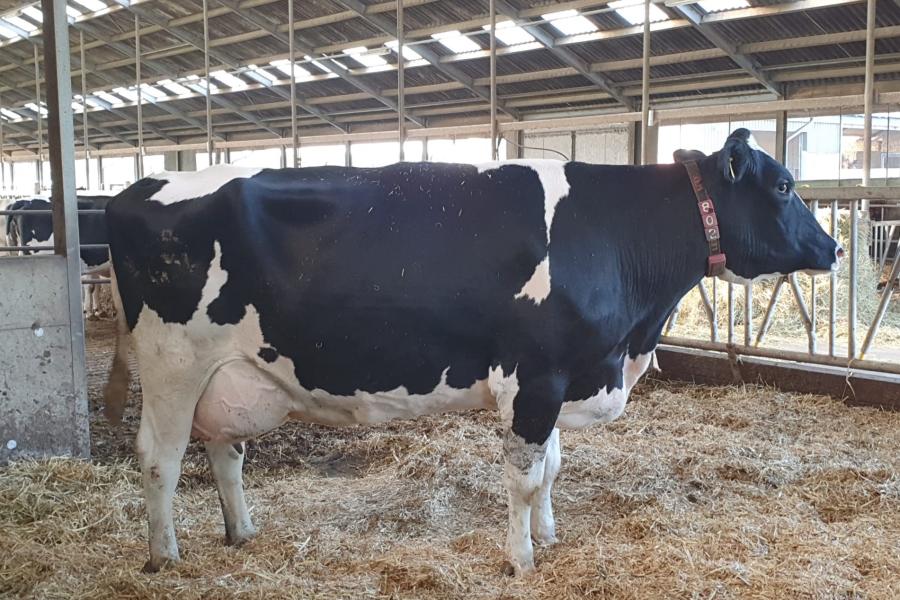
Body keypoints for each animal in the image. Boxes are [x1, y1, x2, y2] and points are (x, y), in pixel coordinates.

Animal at [102, 129, 842, 576]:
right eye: (783, 186)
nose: (834, 248)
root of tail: (140, 188)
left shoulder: (561, 377)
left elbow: (551, 469)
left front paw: (548, 535)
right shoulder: (535, 378)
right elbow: (523, 477)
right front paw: (521, 559)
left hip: (229, 373)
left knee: (224, 451)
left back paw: (242, 532)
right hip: (172, 363)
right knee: (160, 458)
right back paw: (164, 557)